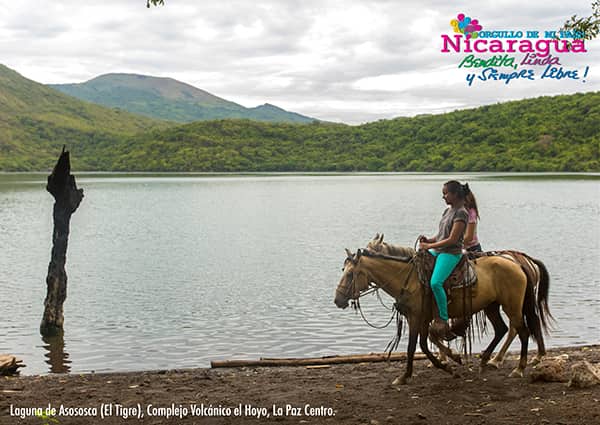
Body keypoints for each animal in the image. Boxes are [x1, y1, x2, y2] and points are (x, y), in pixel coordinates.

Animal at [336, 245, 552, 384]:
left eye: (350, 274)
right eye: (343, 269)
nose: (338, 300)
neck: (409, 279)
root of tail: (517, 263)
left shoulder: (417, 318)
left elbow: (415, 346)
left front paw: (406, 376)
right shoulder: (421, 319)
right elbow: (423, 344)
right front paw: (448, 364)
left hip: (512, 306)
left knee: (522, 331)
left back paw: (518, 369)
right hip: (492, 306)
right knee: (502, 329)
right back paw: (485, 360)